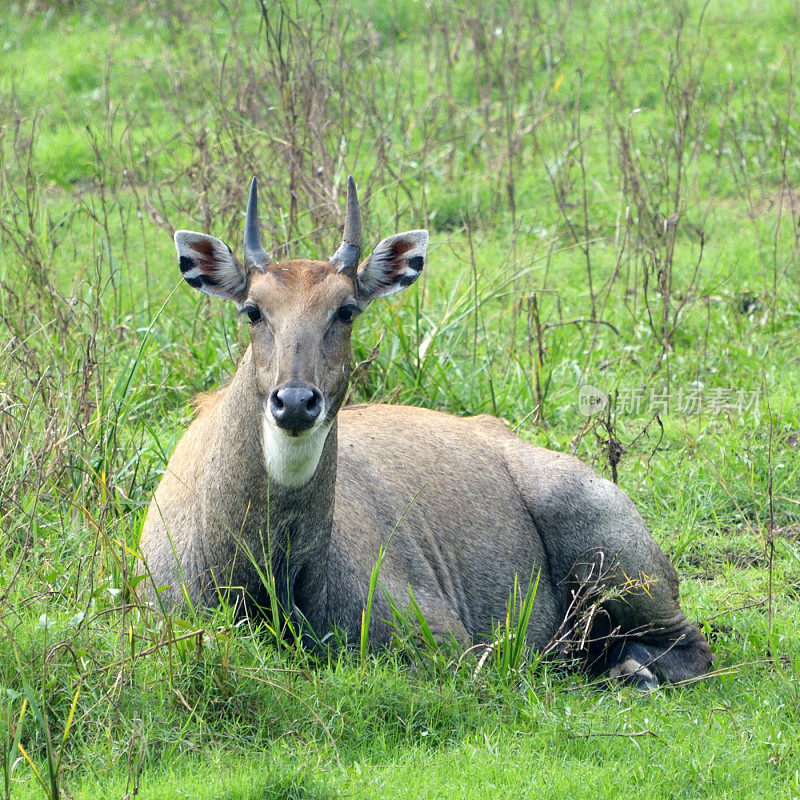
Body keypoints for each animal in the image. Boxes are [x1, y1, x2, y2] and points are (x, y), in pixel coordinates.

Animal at [139, 177, 712, 688]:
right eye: (253, 310)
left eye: (346, 310)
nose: (297, 401)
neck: (269, 571)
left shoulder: (447, 641)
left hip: (615, 560)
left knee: (692, 648)